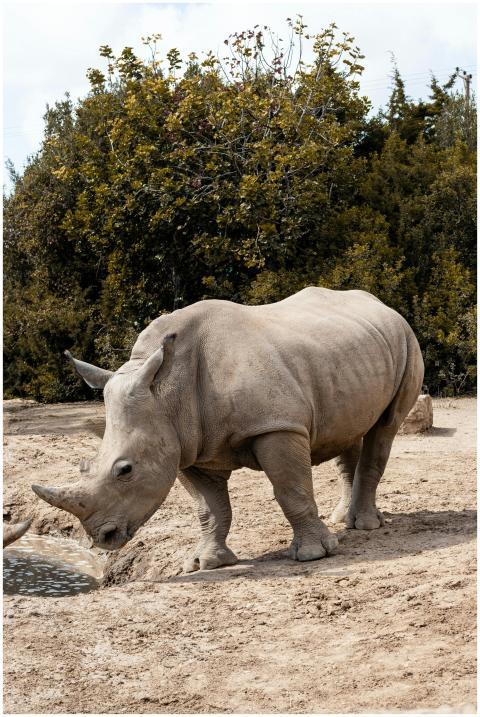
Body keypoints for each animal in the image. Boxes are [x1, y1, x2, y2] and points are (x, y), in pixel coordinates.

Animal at [32, 287, 424, 571]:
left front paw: (313, 555)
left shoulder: (276, 427)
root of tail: (382, 305)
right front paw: (205, 563)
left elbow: (292, 491)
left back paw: (365, 526)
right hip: (348, 355)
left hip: (405, 340)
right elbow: (210, 509)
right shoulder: (186, 446)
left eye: (125, 470)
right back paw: (342, 519)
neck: (166, 393)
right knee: (349, 430)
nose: (103, 537)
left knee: (385, 427)